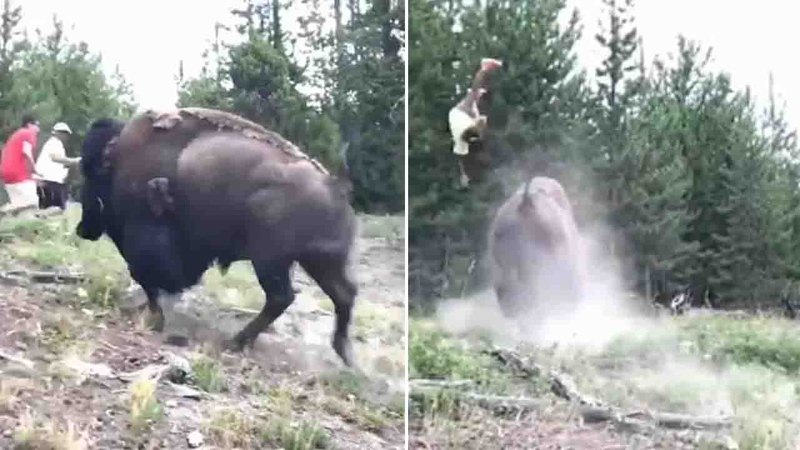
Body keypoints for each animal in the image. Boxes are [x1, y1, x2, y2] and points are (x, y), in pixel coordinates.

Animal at [75, 108, 359, 367]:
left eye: (91, 173)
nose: (82, 228)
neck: (118, 159)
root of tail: (334, 187)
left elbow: (143, 276)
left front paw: (154, 318)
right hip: (320, 262)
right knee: (343, 294)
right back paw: (343, 352)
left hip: (271, 261)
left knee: (282, 297)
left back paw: (236, 341)